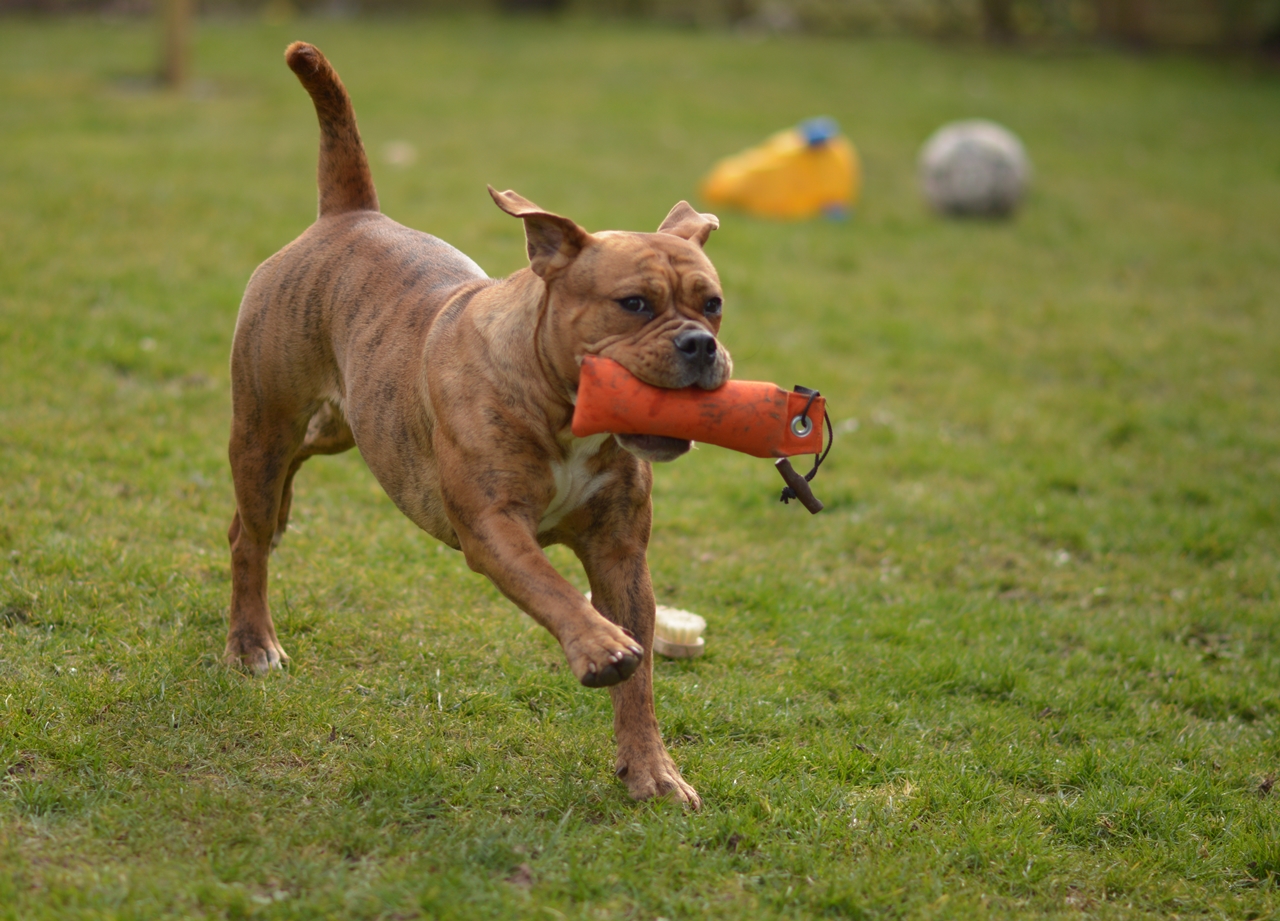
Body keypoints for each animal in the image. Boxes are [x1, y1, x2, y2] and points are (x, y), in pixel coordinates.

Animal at [225, 43, 732, 808]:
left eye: (714, 304)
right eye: (634, 303)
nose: (700, 346)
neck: (563, 410)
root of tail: (351, 215)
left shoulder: (621, 553)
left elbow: (641, 679)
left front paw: (651, 768)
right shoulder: (494, 527)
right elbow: (554, 589)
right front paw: (598, 647)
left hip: (349, 425)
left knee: (277, 492)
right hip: (264, 424)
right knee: (250, 534)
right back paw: (253, 642)